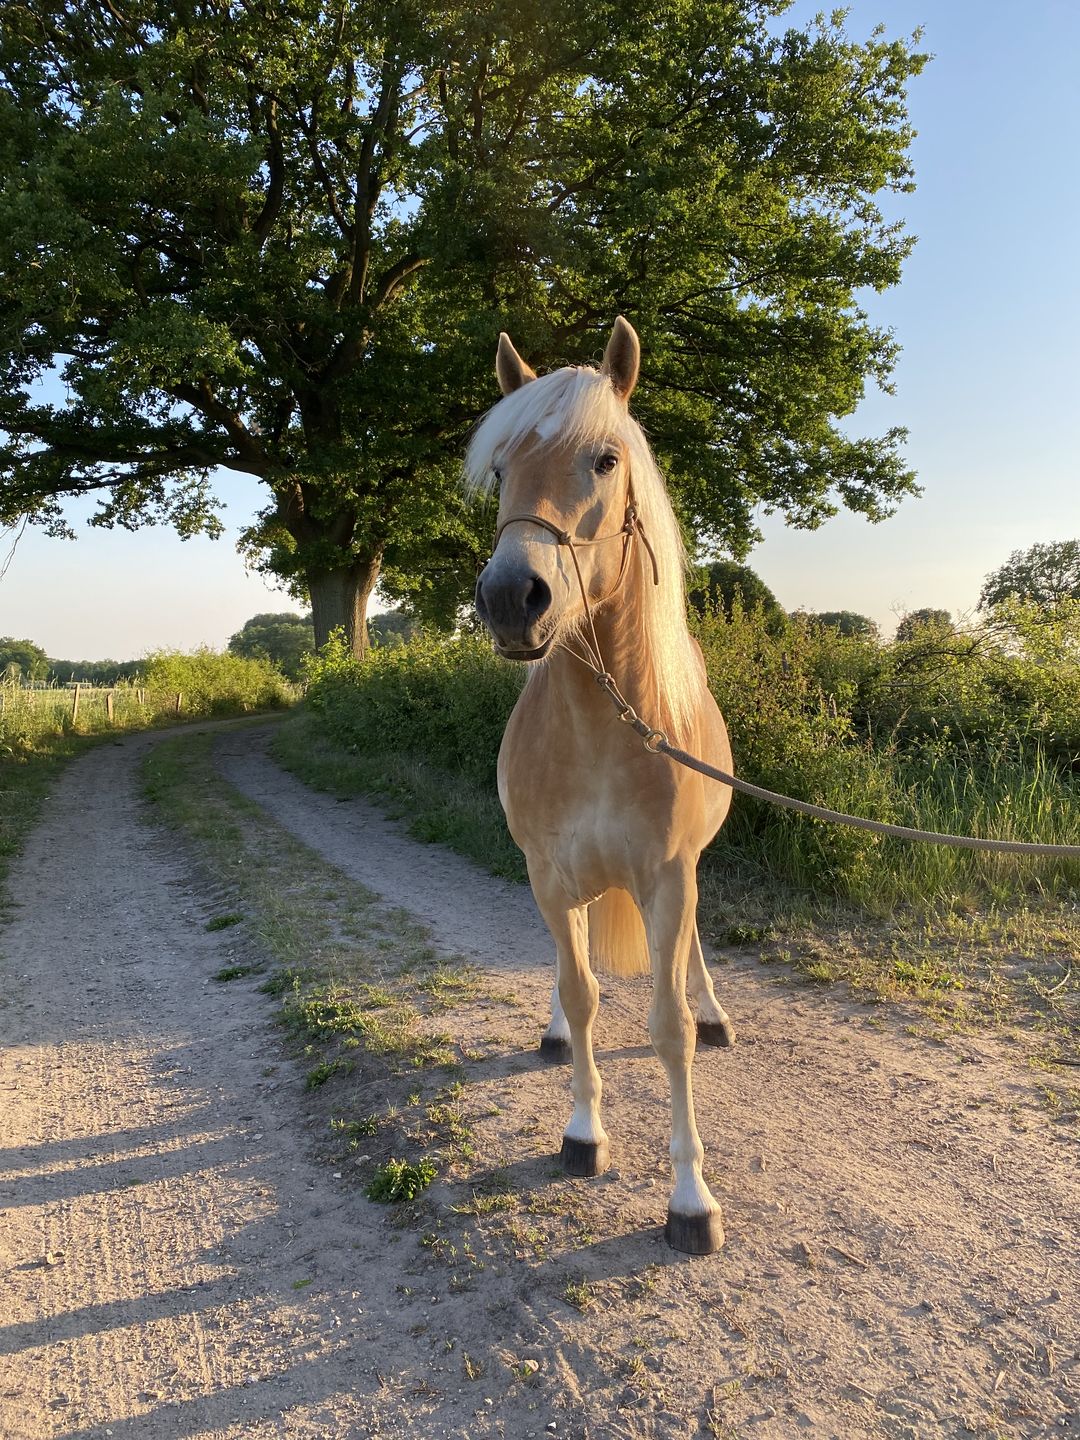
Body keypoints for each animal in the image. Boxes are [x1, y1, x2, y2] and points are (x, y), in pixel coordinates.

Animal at [469, 317, 737, 1255]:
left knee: (690, 955)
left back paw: (714, 1008)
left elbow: (668, 1029)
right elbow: (582, 995)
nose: (512, 598)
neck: (601, 729)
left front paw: (691, 1198)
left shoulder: (669, 878)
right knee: (571, 964)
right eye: (500, 468)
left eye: (605, 459)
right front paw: (583, 1133)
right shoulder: (549, 876)